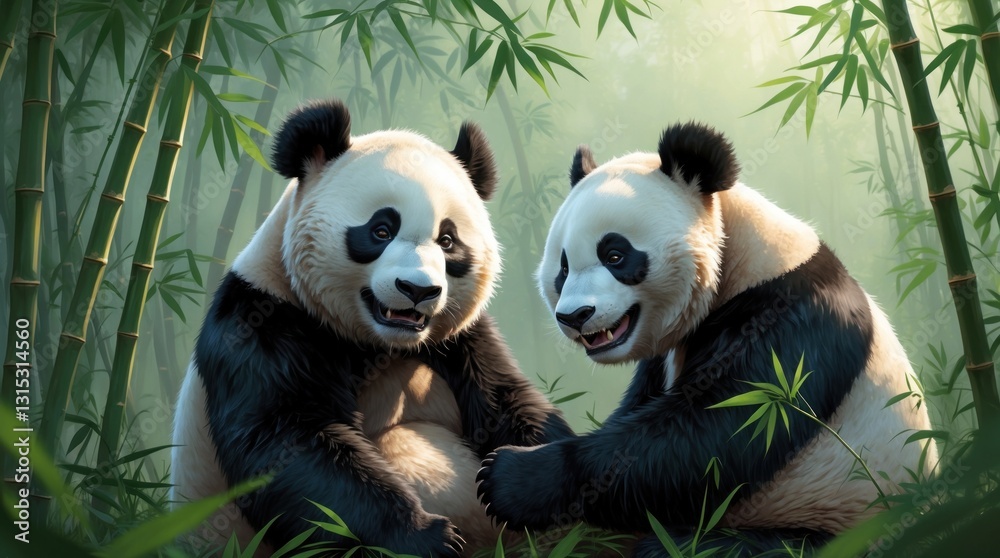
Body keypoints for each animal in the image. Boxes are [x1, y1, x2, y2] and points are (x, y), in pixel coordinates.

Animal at [170, 99, 574, 557]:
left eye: (448, 240)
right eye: (381, 229)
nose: (418, 290)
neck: (379, 343)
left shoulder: (461, 339)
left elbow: (507, 401)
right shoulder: (260, 324)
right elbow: (288, 446)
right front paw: (427, 537)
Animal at [476, 122, 938, 555]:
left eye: (615, 255)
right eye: (563, 267)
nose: (574, 316)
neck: (741, 260)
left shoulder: (792, 322)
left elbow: (713, 437)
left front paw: (509, 476)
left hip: (839, 515)